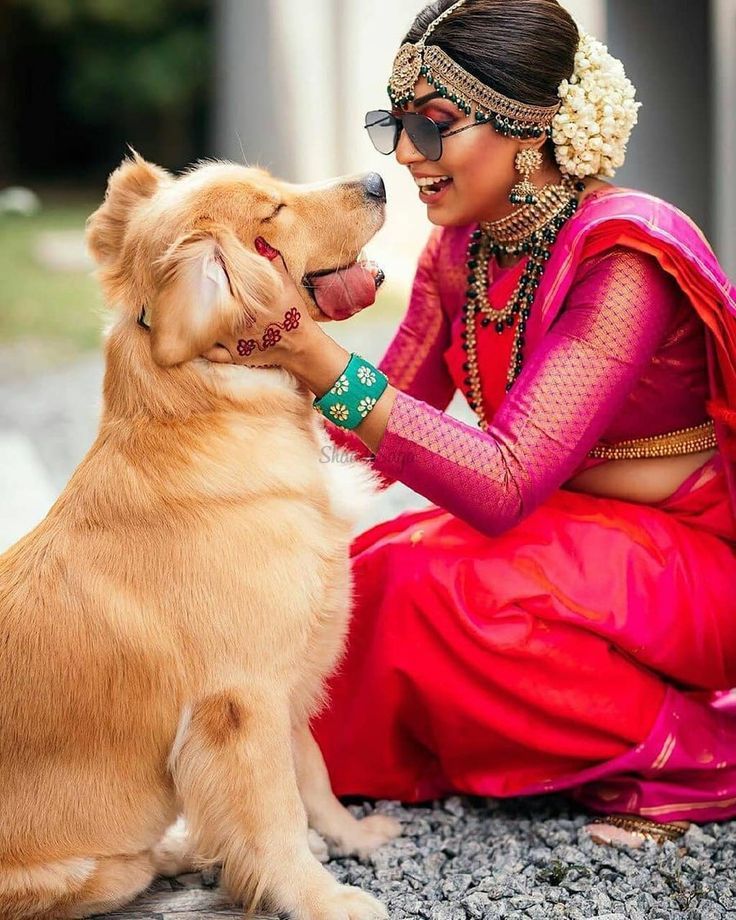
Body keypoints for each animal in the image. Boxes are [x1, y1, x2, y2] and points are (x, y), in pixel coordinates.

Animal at [0, 156, 400, 920]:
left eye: (277, 187)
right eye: (273, 212)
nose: (377, 181)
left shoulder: (284, 673)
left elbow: (313, 770)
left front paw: (351, 835)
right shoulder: (241, 701)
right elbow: (277, 815)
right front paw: (322, 896)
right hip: (84, 873)